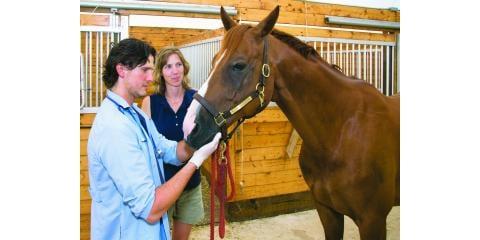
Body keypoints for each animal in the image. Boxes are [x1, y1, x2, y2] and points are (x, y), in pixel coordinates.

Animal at [182, 5, 400, 240]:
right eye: (214, 62)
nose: (189, 126)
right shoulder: (327, 211)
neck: (340, 132)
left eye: (239, 65)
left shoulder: (372, 220)